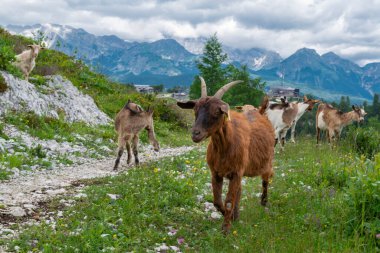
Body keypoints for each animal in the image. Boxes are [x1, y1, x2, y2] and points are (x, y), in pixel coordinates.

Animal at [177, 76, 274, 233]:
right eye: (195, 110)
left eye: (217, 112)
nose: (195, 134)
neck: (224, 148)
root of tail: (260, 112)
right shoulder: (216, 173)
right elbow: (217, 201)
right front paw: (230, 217)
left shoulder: (236, 172)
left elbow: (228, 201)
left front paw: (226, 228)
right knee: (239, 191)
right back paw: (237, 214)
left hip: (267, 161)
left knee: (266, 180)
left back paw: (264, 202)